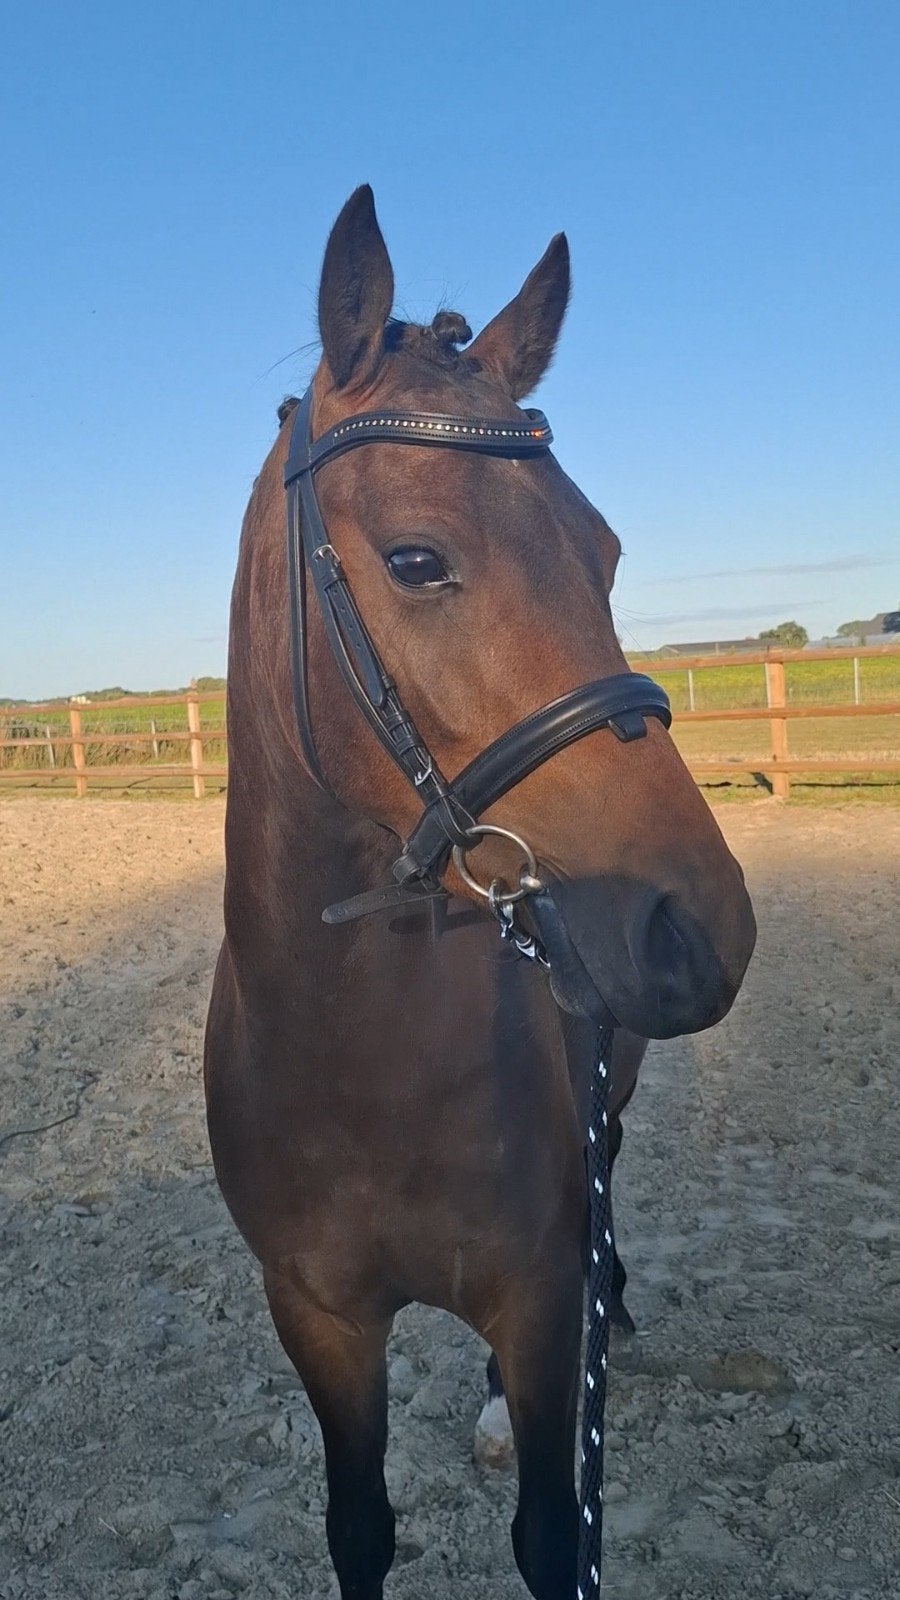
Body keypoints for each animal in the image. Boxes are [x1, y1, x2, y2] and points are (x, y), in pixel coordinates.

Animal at [204, 185, 756, 1600]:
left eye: (605, 552)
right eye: (416, 560)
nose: (701, 930)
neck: (356, 1054)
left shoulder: (533, 1305)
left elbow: (554, 1531)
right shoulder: (321, 1317)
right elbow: (359, 1525)